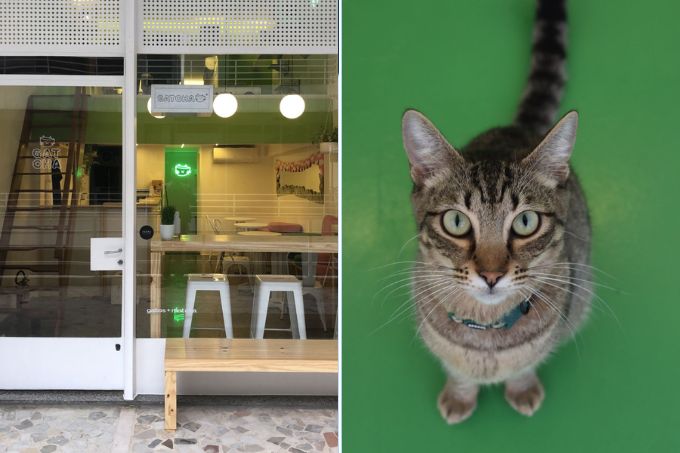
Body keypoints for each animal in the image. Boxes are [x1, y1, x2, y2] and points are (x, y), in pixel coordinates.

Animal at [402, 0, 592, 424]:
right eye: (456, 222)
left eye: (526, 222)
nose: (491, 275)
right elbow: (458, 372)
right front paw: (460, 397)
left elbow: (524, 367)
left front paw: (522, 389)